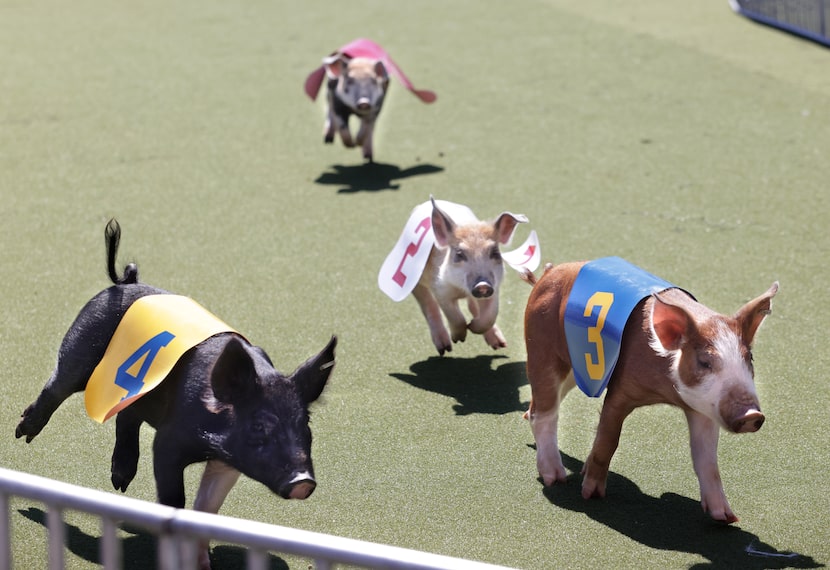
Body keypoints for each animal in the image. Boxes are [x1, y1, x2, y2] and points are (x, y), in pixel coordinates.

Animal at [15, 219, 338, 568]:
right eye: (259, 425)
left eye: (305, 424)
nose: (303, 481)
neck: (209, 436)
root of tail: (125, 282)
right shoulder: (168, 442)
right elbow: (175, 502)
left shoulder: (228, 462)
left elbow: (207, 509)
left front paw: (204, 563)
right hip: (81, 345)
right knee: (58, 385)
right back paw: (23, 437)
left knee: (127, 416)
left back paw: (120, 484)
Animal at [304, 37, 436, 162]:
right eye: (349, 81)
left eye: (373, 81)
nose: (364, 102)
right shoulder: (338, 103)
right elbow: (342, 125)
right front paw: (351, 145)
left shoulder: (376, 107)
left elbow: (367, 127)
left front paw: (357, 144)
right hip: (328, 92)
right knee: (329, 110)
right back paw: (328, 139)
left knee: (371, 129)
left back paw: (368, 157)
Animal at [528, 260, 780, 520]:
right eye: (704, 362)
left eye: (749, 358)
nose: (751, 414)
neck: (666, 392)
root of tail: (550, 272)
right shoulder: (619, 391)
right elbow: (608, 440)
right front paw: (591, 495)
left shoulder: (702, 410)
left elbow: (707, 461)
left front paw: (726, 518)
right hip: (542, 348)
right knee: (543, 413)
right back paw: (555, 478)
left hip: (572, 369)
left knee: (534, 408)